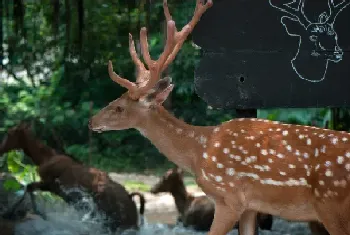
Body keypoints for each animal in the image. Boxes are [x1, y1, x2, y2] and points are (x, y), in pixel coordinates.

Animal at [0, 123, 146, 233]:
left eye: (9, 133)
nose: (0, 148)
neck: (45, 158)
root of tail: (130, 198)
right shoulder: (54, 189)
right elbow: (29, 188)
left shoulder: (49, 184)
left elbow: (28, 187)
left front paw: (12, 213)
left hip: (117, 222)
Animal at [89, 0, 350, 235]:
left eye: (119, 107)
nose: (92, 122)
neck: (198, 151)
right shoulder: (250, 206)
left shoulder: (229, 197)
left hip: (331, 205)